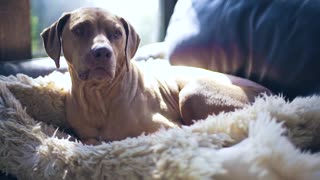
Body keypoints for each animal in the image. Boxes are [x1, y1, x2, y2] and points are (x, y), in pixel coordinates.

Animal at [40, 7, 272, 145]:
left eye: (117, 33)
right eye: (79, 30)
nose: (102, 52)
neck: (100, 96)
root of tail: (271, 94)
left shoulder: (165, 128)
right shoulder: (87, 136)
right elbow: (90, 139)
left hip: (193, 91)